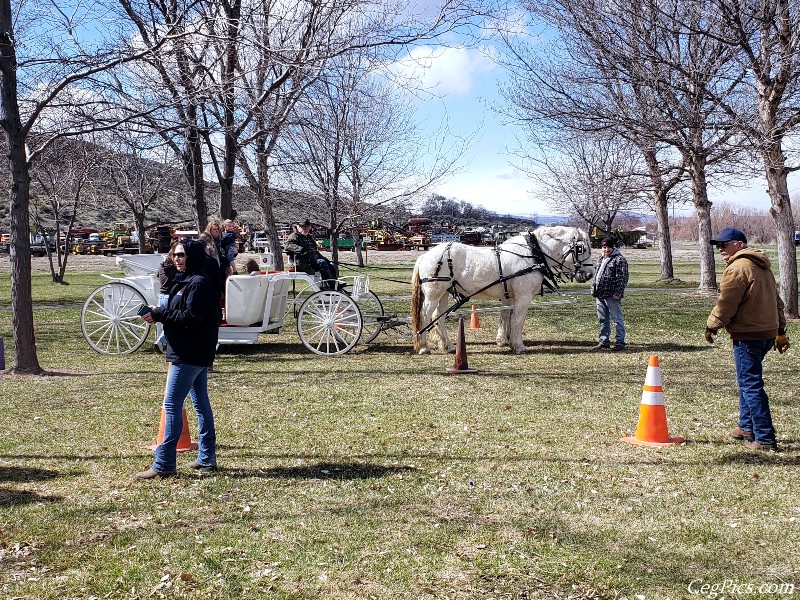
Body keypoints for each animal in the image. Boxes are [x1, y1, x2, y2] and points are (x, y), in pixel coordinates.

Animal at [412, 227, 592, 354]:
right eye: (581, 249)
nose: (589, 274)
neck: (533, 253)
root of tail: (425, 256)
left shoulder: (509, 296)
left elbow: (506, 316)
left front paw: (504, 340)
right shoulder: (523, 296)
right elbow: (518, 320)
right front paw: (518, 346)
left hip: (444, 293)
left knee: (438, 318)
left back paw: (448, 345)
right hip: (433, 294)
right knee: (425, 316)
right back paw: (423, 347)